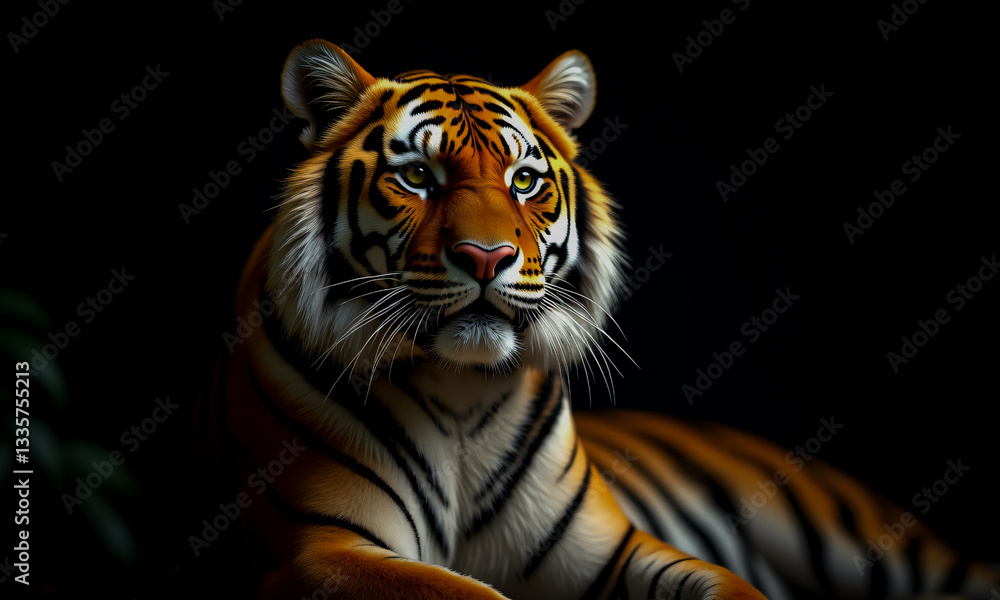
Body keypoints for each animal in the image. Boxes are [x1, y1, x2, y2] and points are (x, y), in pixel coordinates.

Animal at [196, 39, 1000, 600]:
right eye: (417, 177)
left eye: (524, 180)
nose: (486, 257)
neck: (460, 393)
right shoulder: (322, 551)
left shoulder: (606, 552)